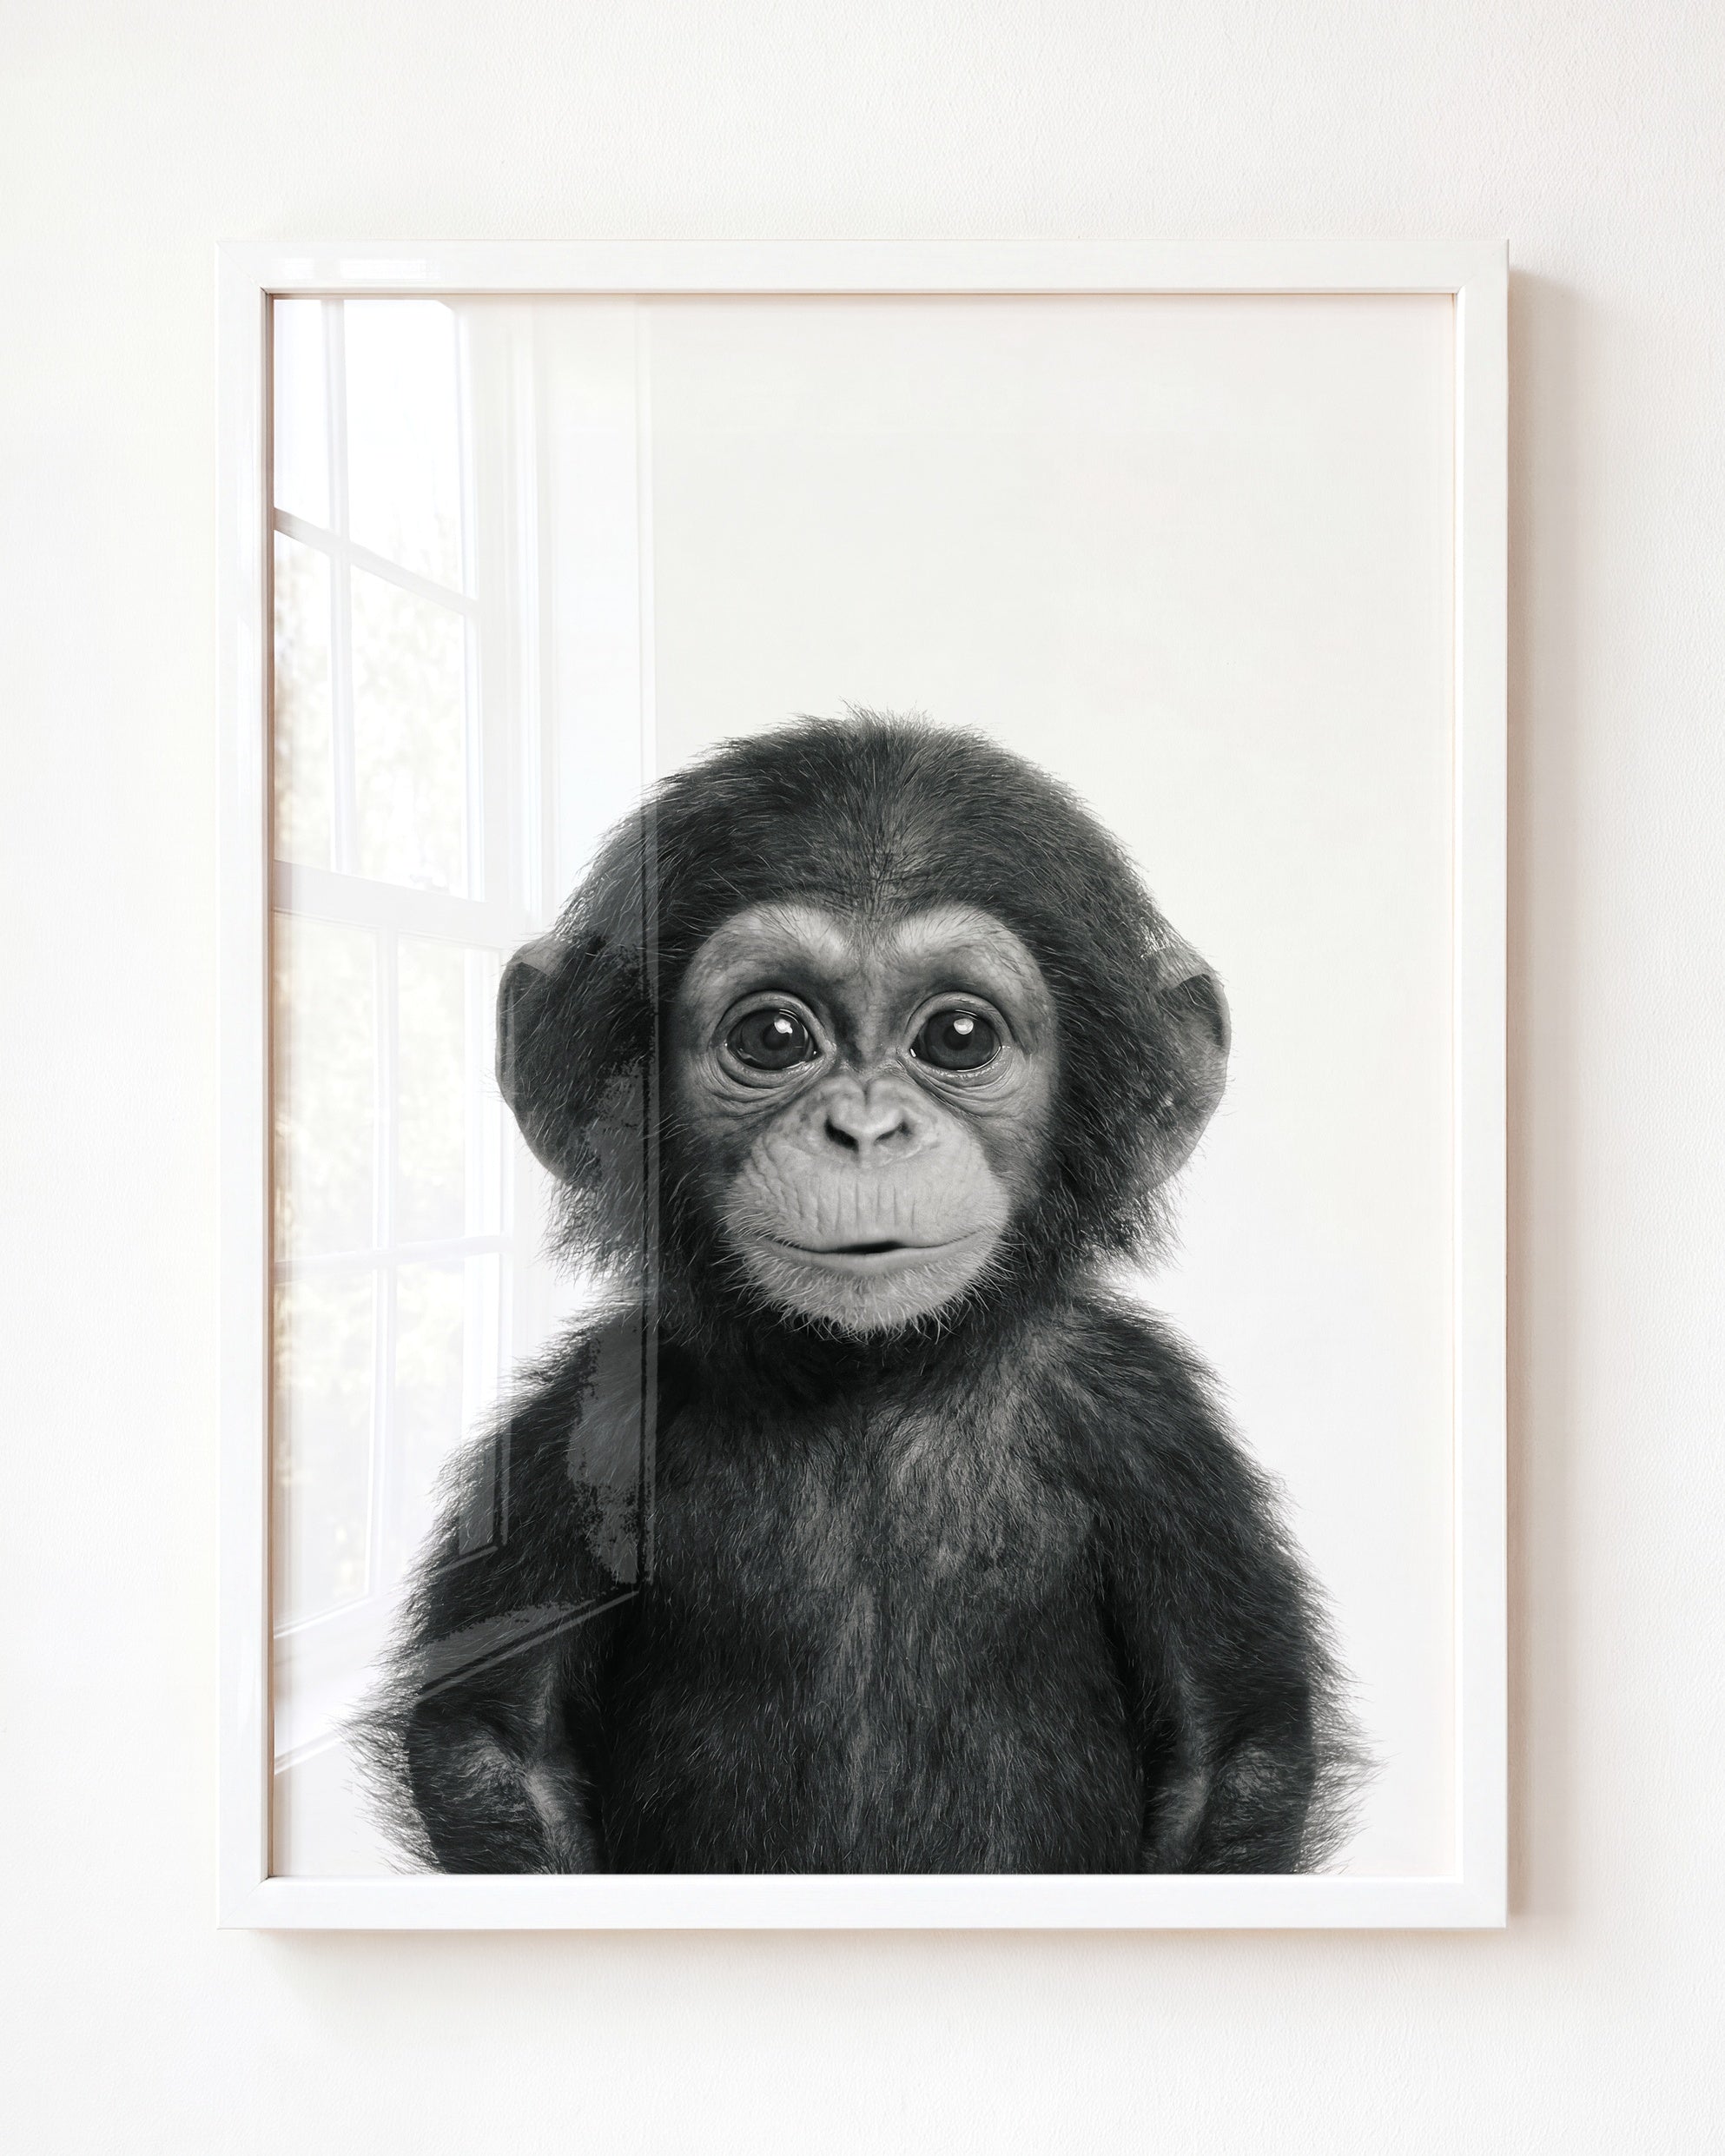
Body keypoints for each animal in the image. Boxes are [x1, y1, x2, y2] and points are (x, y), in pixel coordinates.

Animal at [358, 712, 1365, 1873]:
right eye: (772, 1037)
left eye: (958, 1037)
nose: (867, 1128)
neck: (870, 1378)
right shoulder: (585, 1423)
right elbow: (497, 1741)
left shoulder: (1152, 1428)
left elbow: (1229, 1746)